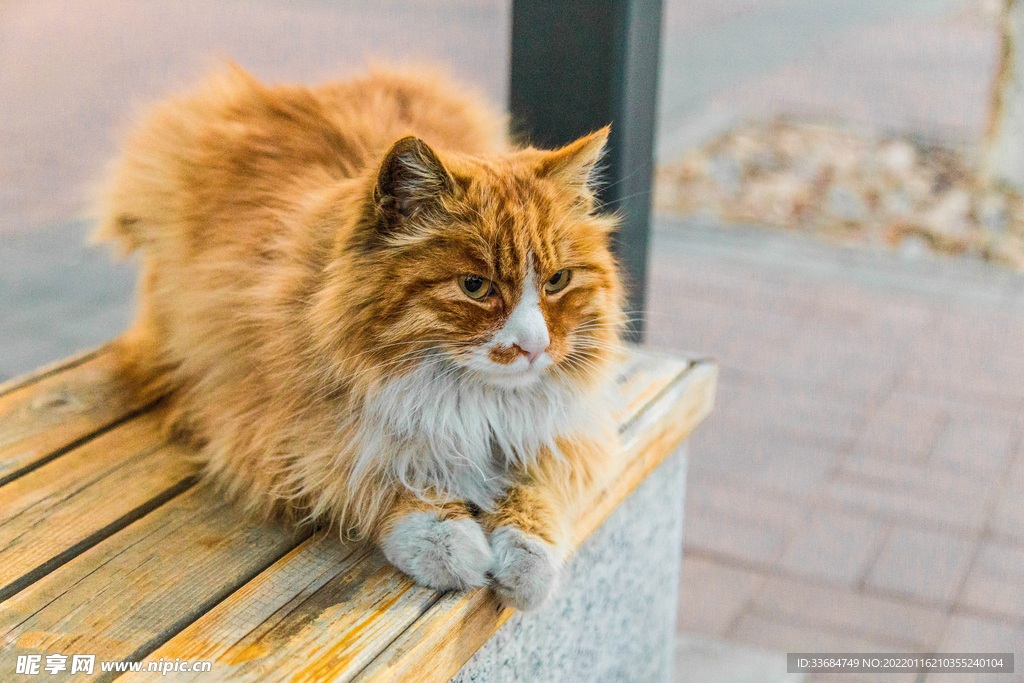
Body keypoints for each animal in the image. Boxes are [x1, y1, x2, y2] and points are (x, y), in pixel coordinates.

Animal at [97, 62, 622, 610]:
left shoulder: (563, 435)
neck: (468, 403)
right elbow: (384, 479)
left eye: (556, 281)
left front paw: (527, 566)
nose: (534, 347)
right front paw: (448, 545)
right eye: (475, 286)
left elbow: (539, 493)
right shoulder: (277, 434)